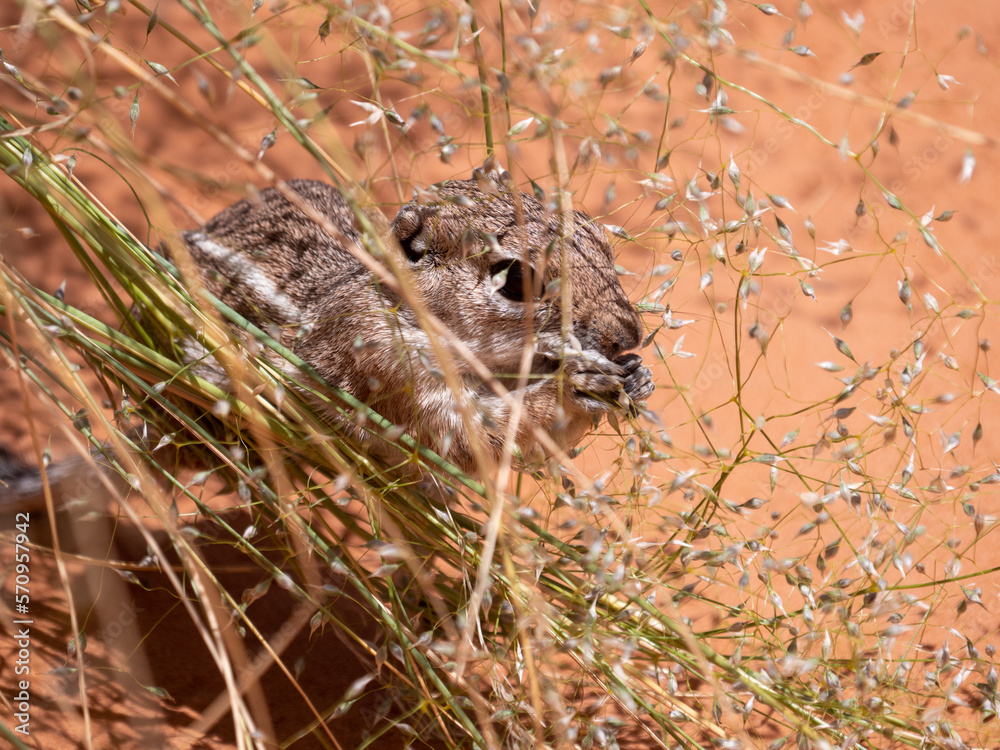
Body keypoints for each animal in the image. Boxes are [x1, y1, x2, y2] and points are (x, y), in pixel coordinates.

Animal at [0, 164, 653, 509]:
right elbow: (483, 437)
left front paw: (636, 378)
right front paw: (580, 387)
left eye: (598, 235)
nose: (630, 333)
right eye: (517, 280)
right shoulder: (392, 371)